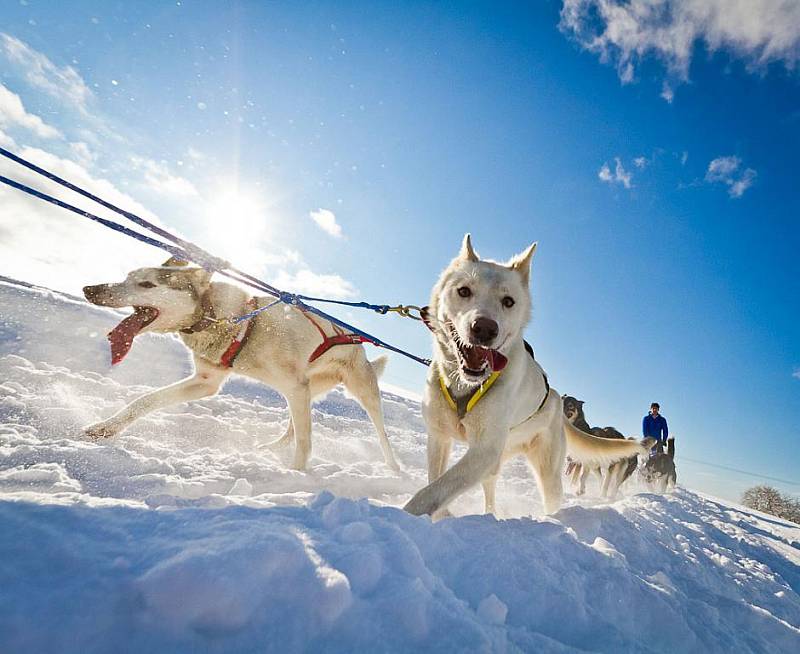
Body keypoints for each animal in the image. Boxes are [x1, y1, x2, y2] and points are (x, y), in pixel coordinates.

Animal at [83, 258, 400, 472]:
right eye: (127, 276)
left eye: (147, 284)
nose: (90, 289)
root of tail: (359, 343)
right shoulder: (207, 381)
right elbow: (145, 400)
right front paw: (105, 428)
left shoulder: (294, 387)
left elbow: (306, 444)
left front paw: (295, 477)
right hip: (304, 392)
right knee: (292, 429)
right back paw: (270, 447)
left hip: (360, 393)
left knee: (381, 436)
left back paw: (396, 471)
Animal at [404, 236, 652, 516]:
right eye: (464, 291)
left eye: (508, 301)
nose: (485, 328)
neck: (465, 385)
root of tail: (556, 400)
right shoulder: (439, 437)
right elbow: (435, 481)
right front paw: (440, 515)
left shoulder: (484, 451)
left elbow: (433, 492)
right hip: (499, 459)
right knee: (490, 487)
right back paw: (490, 513)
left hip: (546, 473)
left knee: (551, 497)